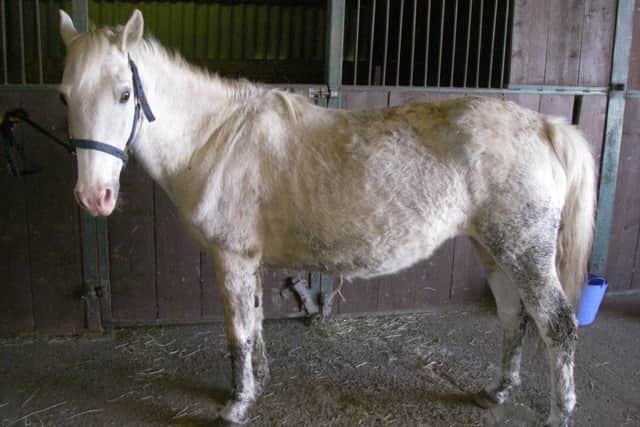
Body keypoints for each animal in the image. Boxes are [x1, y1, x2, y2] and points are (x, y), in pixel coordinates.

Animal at [58, 9, 595, 427]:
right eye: (64, 96)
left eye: (125, 94)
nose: (93, 196)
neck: (217, 138)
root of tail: (545, 126)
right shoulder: (249, 260)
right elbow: (256, 323)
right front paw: (259, 384)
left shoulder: (231, 257)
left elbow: (238, 332)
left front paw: (237, 405)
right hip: (492, 250)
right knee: (512, 316)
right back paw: (497, 391)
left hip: (523, 252)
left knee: (557, 326)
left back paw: (558, 412)